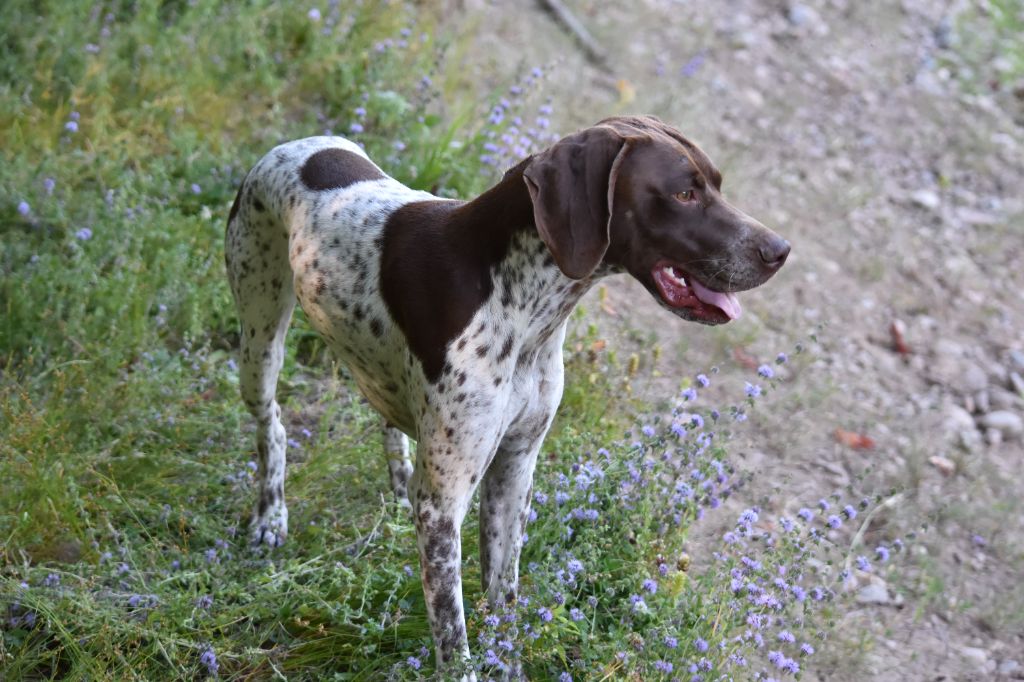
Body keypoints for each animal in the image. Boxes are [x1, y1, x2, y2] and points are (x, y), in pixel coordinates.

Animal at [224, 114, 786, 671]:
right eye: (684, 193)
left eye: (716, 184)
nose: (779, 250)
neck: (520, 306)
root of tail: (302, 142)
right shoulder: (443, 506)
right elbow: (454, 641)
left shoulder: (512, 473)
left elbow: (505, 604)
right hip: (259, 344)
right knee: (272, 424)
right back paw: (271, 515)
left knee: (389, 420)